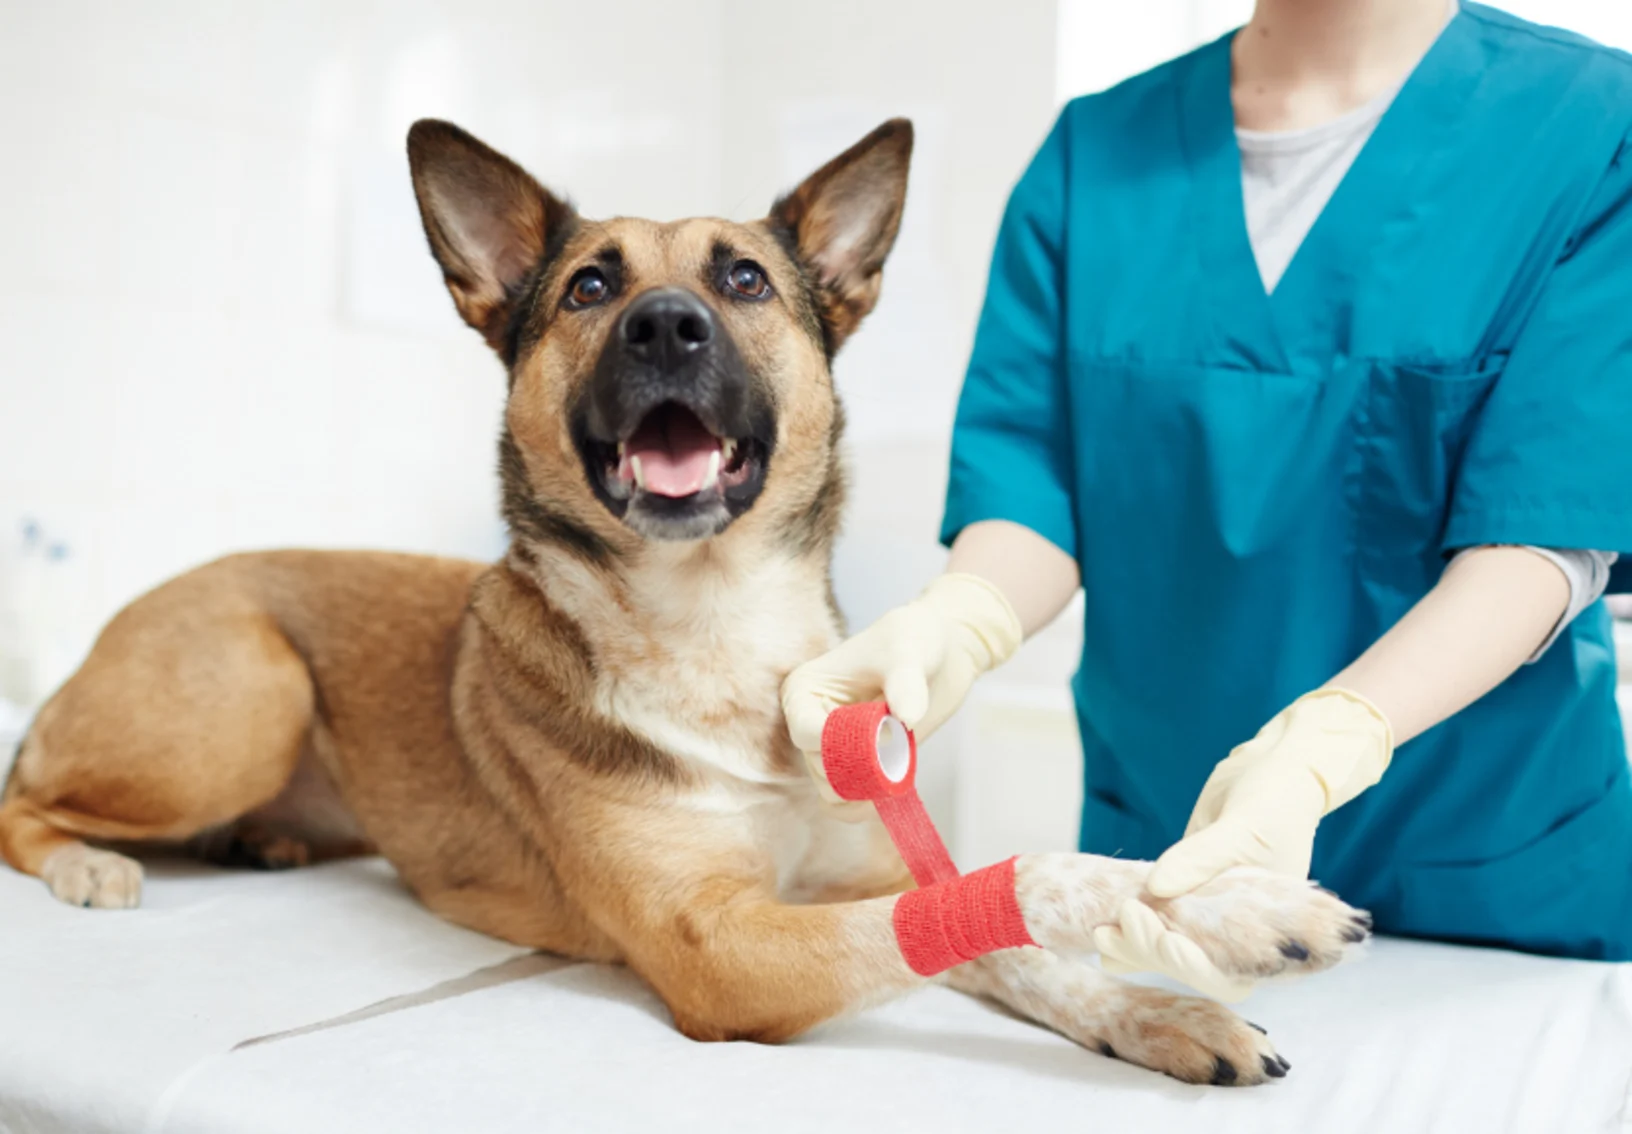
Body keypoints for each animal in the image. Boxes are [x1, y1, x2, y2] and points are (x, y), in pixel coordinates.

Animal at [0, 113, 1364, 1083]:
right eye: (589, 289)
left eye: (746, 281)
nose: (665, 324)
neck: (716, 628)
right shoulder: (723, 953)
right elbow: (1024, 880)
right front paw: (1224, 905)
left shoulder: (861, 888)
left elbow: (1010, 944)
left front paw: (1160, 1004)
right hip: (248, 694)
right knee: (24, 798)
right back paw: (90, 867)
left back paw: (259, 842)